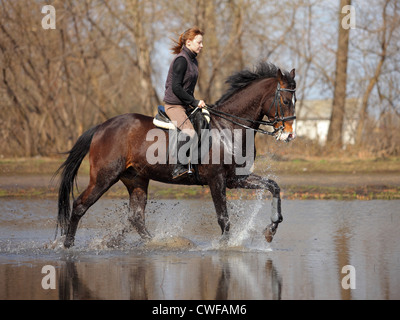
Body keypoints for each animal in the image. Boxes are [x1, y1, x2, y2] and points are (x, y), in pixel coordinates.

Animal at [56, 62, 296, 248]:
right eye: (286, 101)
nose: (290, 135)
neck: (229, 127)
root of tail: (101, 127)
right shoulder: (216, 179)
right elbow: (223, 218)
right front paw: (224, 246)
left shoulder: (235, 178)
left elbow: (273, 186)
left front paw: (271, 230)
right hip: (104, 177)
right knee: (80, 205)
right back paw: (68, 245)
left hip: (136, 179)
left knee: (136, 217)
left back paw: (159, 243)